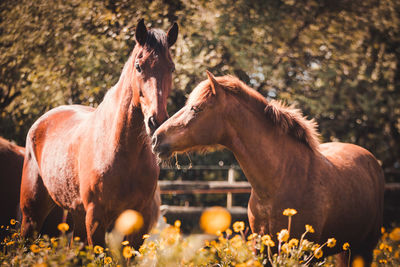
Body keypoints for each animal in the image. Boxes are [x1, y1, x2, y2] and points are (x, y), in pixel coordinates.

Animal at [19, 19, 179, 249]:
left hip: (74, 215)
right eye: (139, 66)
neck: (121, 151)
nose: (156, 121)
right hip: (33, 215)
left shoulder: (138, 221)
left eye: (171, 68)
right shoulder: (96, 218)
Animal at [152, 70, 384, 266]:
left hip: (364, 248)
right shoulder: (262, 249)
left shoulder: (303, 252)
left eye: (196, 108)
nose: (156, 138)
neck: (282, 179)